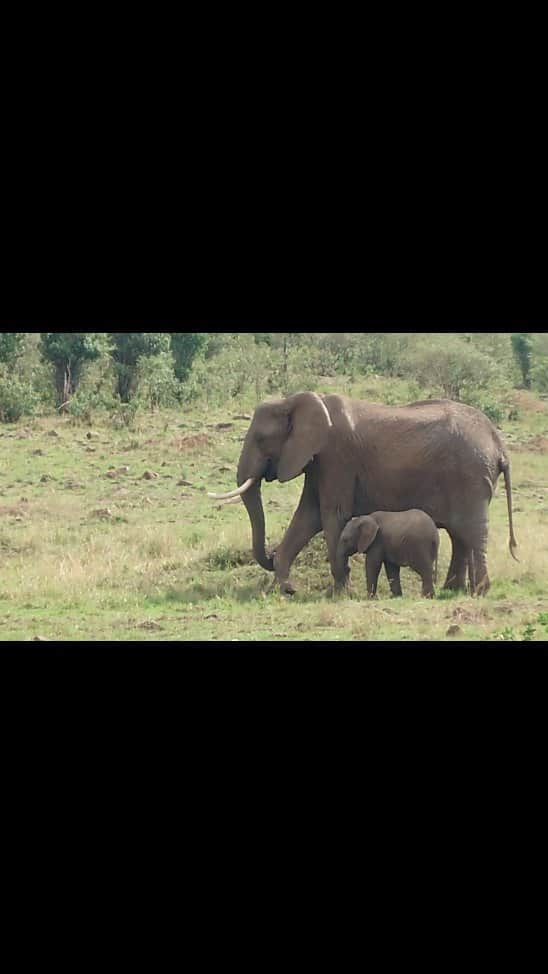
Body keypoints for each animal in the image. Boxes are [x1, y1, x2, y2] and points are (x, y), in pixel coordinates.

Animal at [208, 390, 516, 596]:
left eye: (261, 439)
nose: (270, 555)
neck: (295, 401)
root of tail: (498, 444)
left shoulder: (336, 456)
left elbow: (331, 514)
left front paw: (340, 593)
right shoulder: (318, 461)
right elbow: (308, 517)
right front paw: (282, 590)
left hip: (471, 474)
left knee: (472, 531)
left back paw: (478, 591)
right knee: (459, 533)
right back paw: (454, 591)